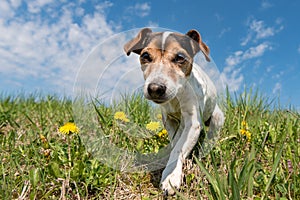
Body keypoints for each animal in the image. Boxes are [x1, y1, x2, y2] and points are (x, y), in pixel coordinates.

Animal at [123, 27, 224, 195]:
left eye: (180, 57)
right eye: (145, 56)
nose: (155, 88)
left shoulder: (192, 123)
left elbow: (178, 149)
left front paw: (171, 177)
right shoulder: (168, 119)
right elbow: (175, 142)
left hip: (217, 117)